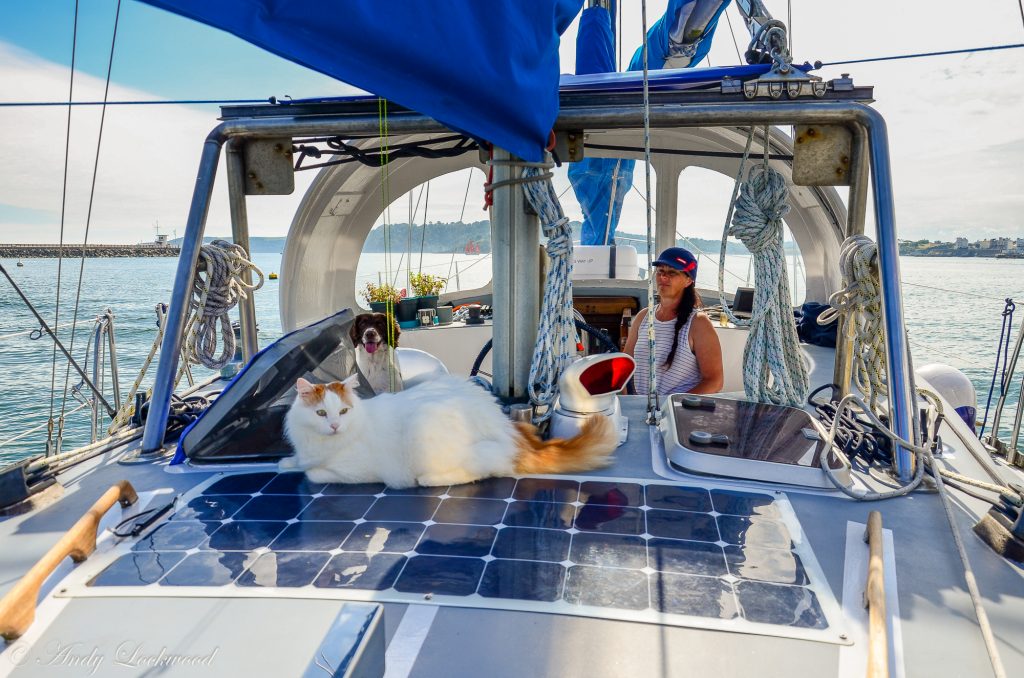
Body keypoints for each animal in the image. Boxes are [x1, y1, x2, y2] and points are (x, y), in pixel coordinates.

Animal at [280, 376, 614, 489]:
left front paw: (304, 469)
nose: (335, 425)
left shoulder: (355, 471)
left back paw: (429, 480)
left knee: (477, 472)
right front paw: (287, 462)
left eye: (343, 412)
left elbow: (315, 473)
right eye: (321, 413)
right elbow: (297, 462)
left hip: (427, 430)